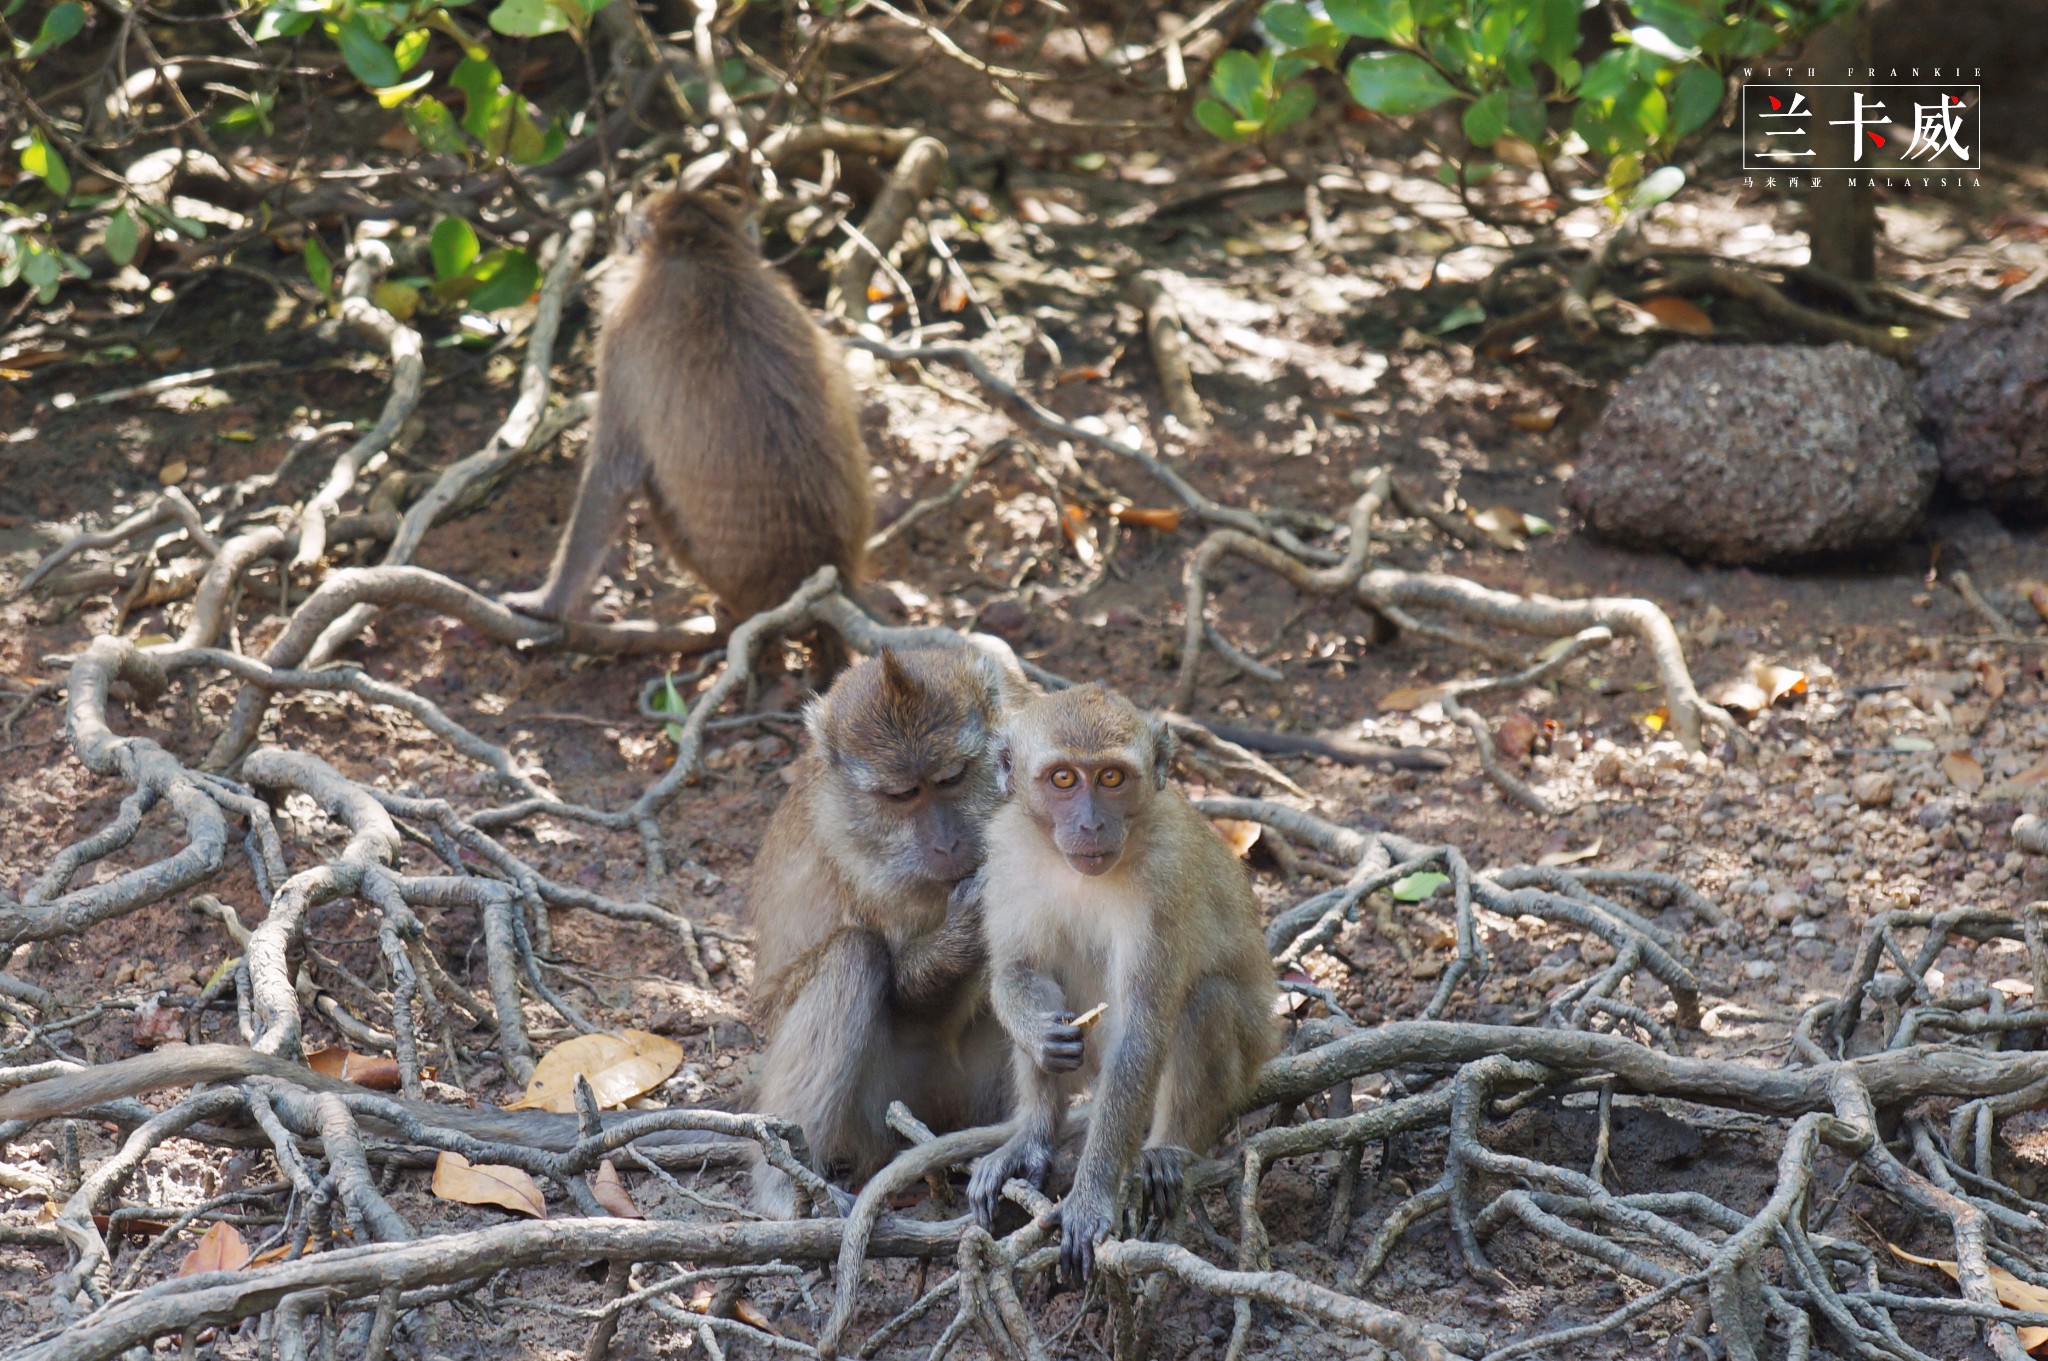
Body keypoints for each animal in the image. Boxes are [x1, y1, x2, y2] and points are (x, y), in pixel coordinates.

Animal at [741, 642, 1032, 1211]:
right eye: (902, 795)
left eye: (951, 778)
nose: (947, 843)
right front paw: (962, 932)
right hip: (873, 1114)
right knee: (854, 954)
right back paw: (784, 1193)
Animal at [962, 683, 1277, 1277]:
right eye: (1064, 779)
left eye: (1111, 777)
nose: (1090, 825)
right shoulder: (1006, 850)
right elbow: (1020, 970)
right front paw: (1040, 1032)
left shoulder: (1164, 880)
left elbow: (1141, 1029)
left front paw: (1091, 1198)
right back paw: (1033, 1138)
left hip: (1241, 1066)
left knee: (1205, 1001)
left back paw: (1168, 1150)